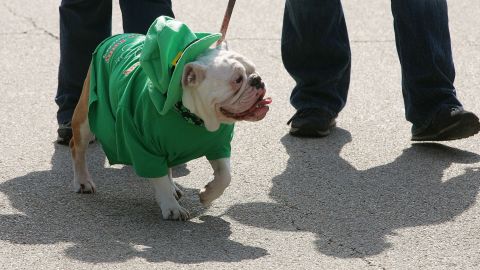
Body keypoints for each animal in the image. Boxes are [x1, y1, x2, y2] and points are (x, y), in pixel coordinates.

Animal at [68, 16, 270, 220]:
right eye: (237, 80)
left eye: (254, 69)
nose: (257, 79)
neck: (193, 118)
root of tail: (114, 38)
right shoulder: (144, 148)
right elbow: (159, 178)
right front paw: (172, 207)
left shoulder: (218, 146)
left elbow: (225, 176)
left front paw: (207, 194)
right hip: (86, 117)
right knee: (77, 148)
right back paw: (83, 181)